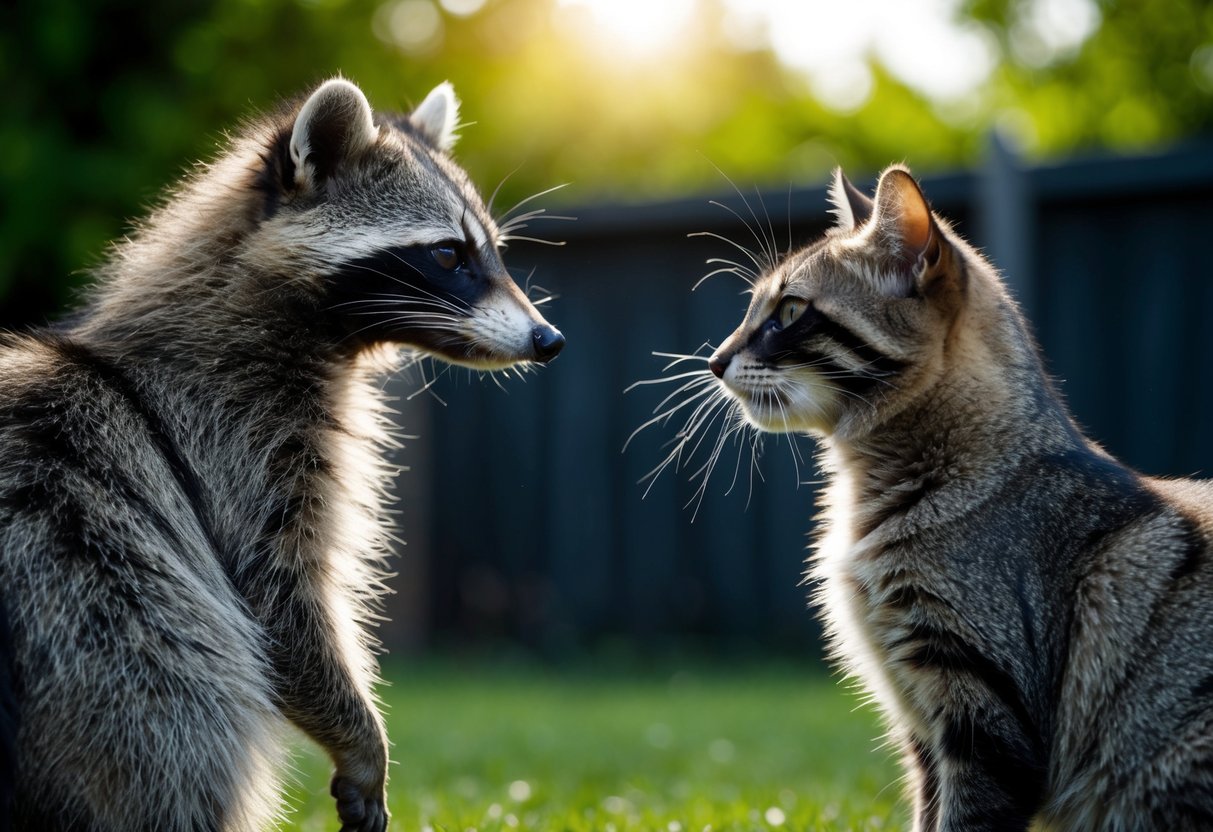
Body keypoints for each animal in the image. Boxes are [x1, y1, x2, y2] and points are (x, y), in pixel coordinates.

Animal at [0, 77, 563, 832]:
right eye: (448, 254)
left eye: (493, 250)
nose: (548, 339)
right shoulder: (232, 439)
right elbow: (280, 602)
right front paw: (361, 737)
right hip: (104, 622)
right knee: (186, 715)